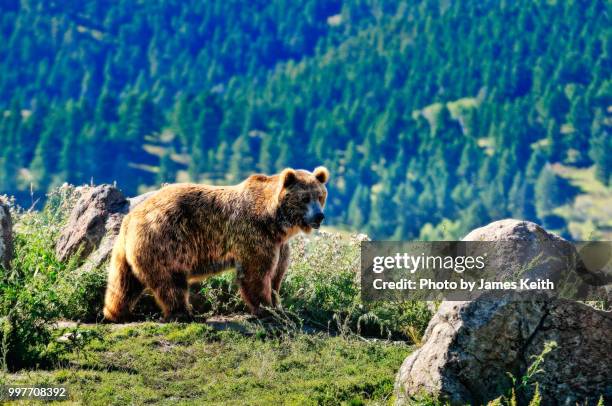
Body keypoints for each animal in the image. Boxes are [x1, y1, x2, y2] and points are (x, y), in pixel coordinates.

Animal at [104, 167, 330, 322]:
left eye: (320, 196)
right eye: (305, 198)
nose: (319, 216)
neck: (274, 221)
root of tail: (131, 217)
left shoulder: (279, 245)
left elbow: (276, 275)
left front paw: (278, 305)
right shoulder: (254, 235)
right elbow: (255, 274)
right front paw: (266, 309)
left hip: (130, 252)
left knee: (124, 283)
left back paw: (116, 313)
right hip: (165, 241)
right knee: (171, 281)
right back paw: (184, 313)